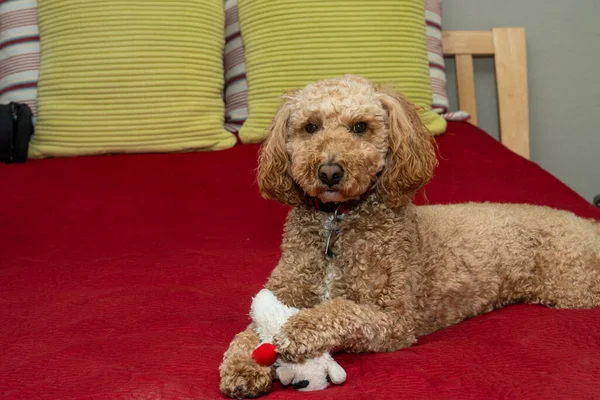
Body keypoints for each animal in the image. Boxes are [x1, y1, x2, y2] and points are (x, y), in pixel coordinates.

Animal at [219, 74, 600, 396]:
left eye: (360, 127)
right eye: (310, 127)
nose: (328, 172)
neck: (336, 220)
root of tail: (587, 224)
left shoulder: (394, 320)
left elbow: (343, 310)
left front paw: (299, 328)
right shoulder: (282, 292)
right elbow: (247, 332)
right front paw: (243, 367)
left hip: (572, 289)